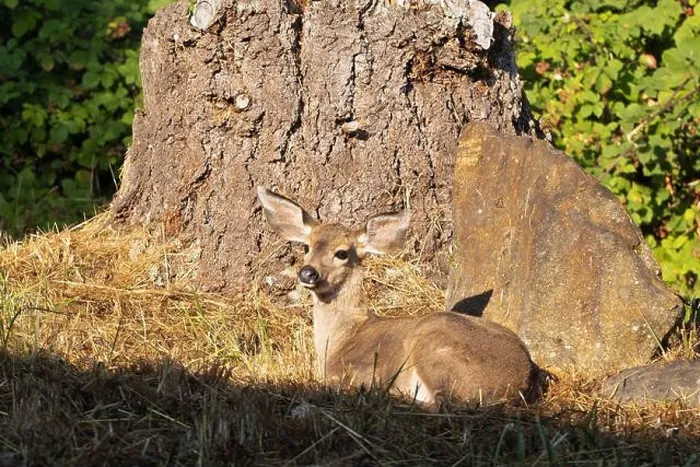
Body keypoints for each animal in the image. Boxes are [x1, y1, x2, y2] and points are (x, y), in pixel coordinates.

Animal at [257, 186, 534, 406]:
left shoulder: (361, 370)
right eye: (307, 246)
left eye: (342, 253)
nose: (307, 272)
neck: (340, 340)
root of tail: (519, 379)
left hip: (433, 348)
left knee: (444, 403)